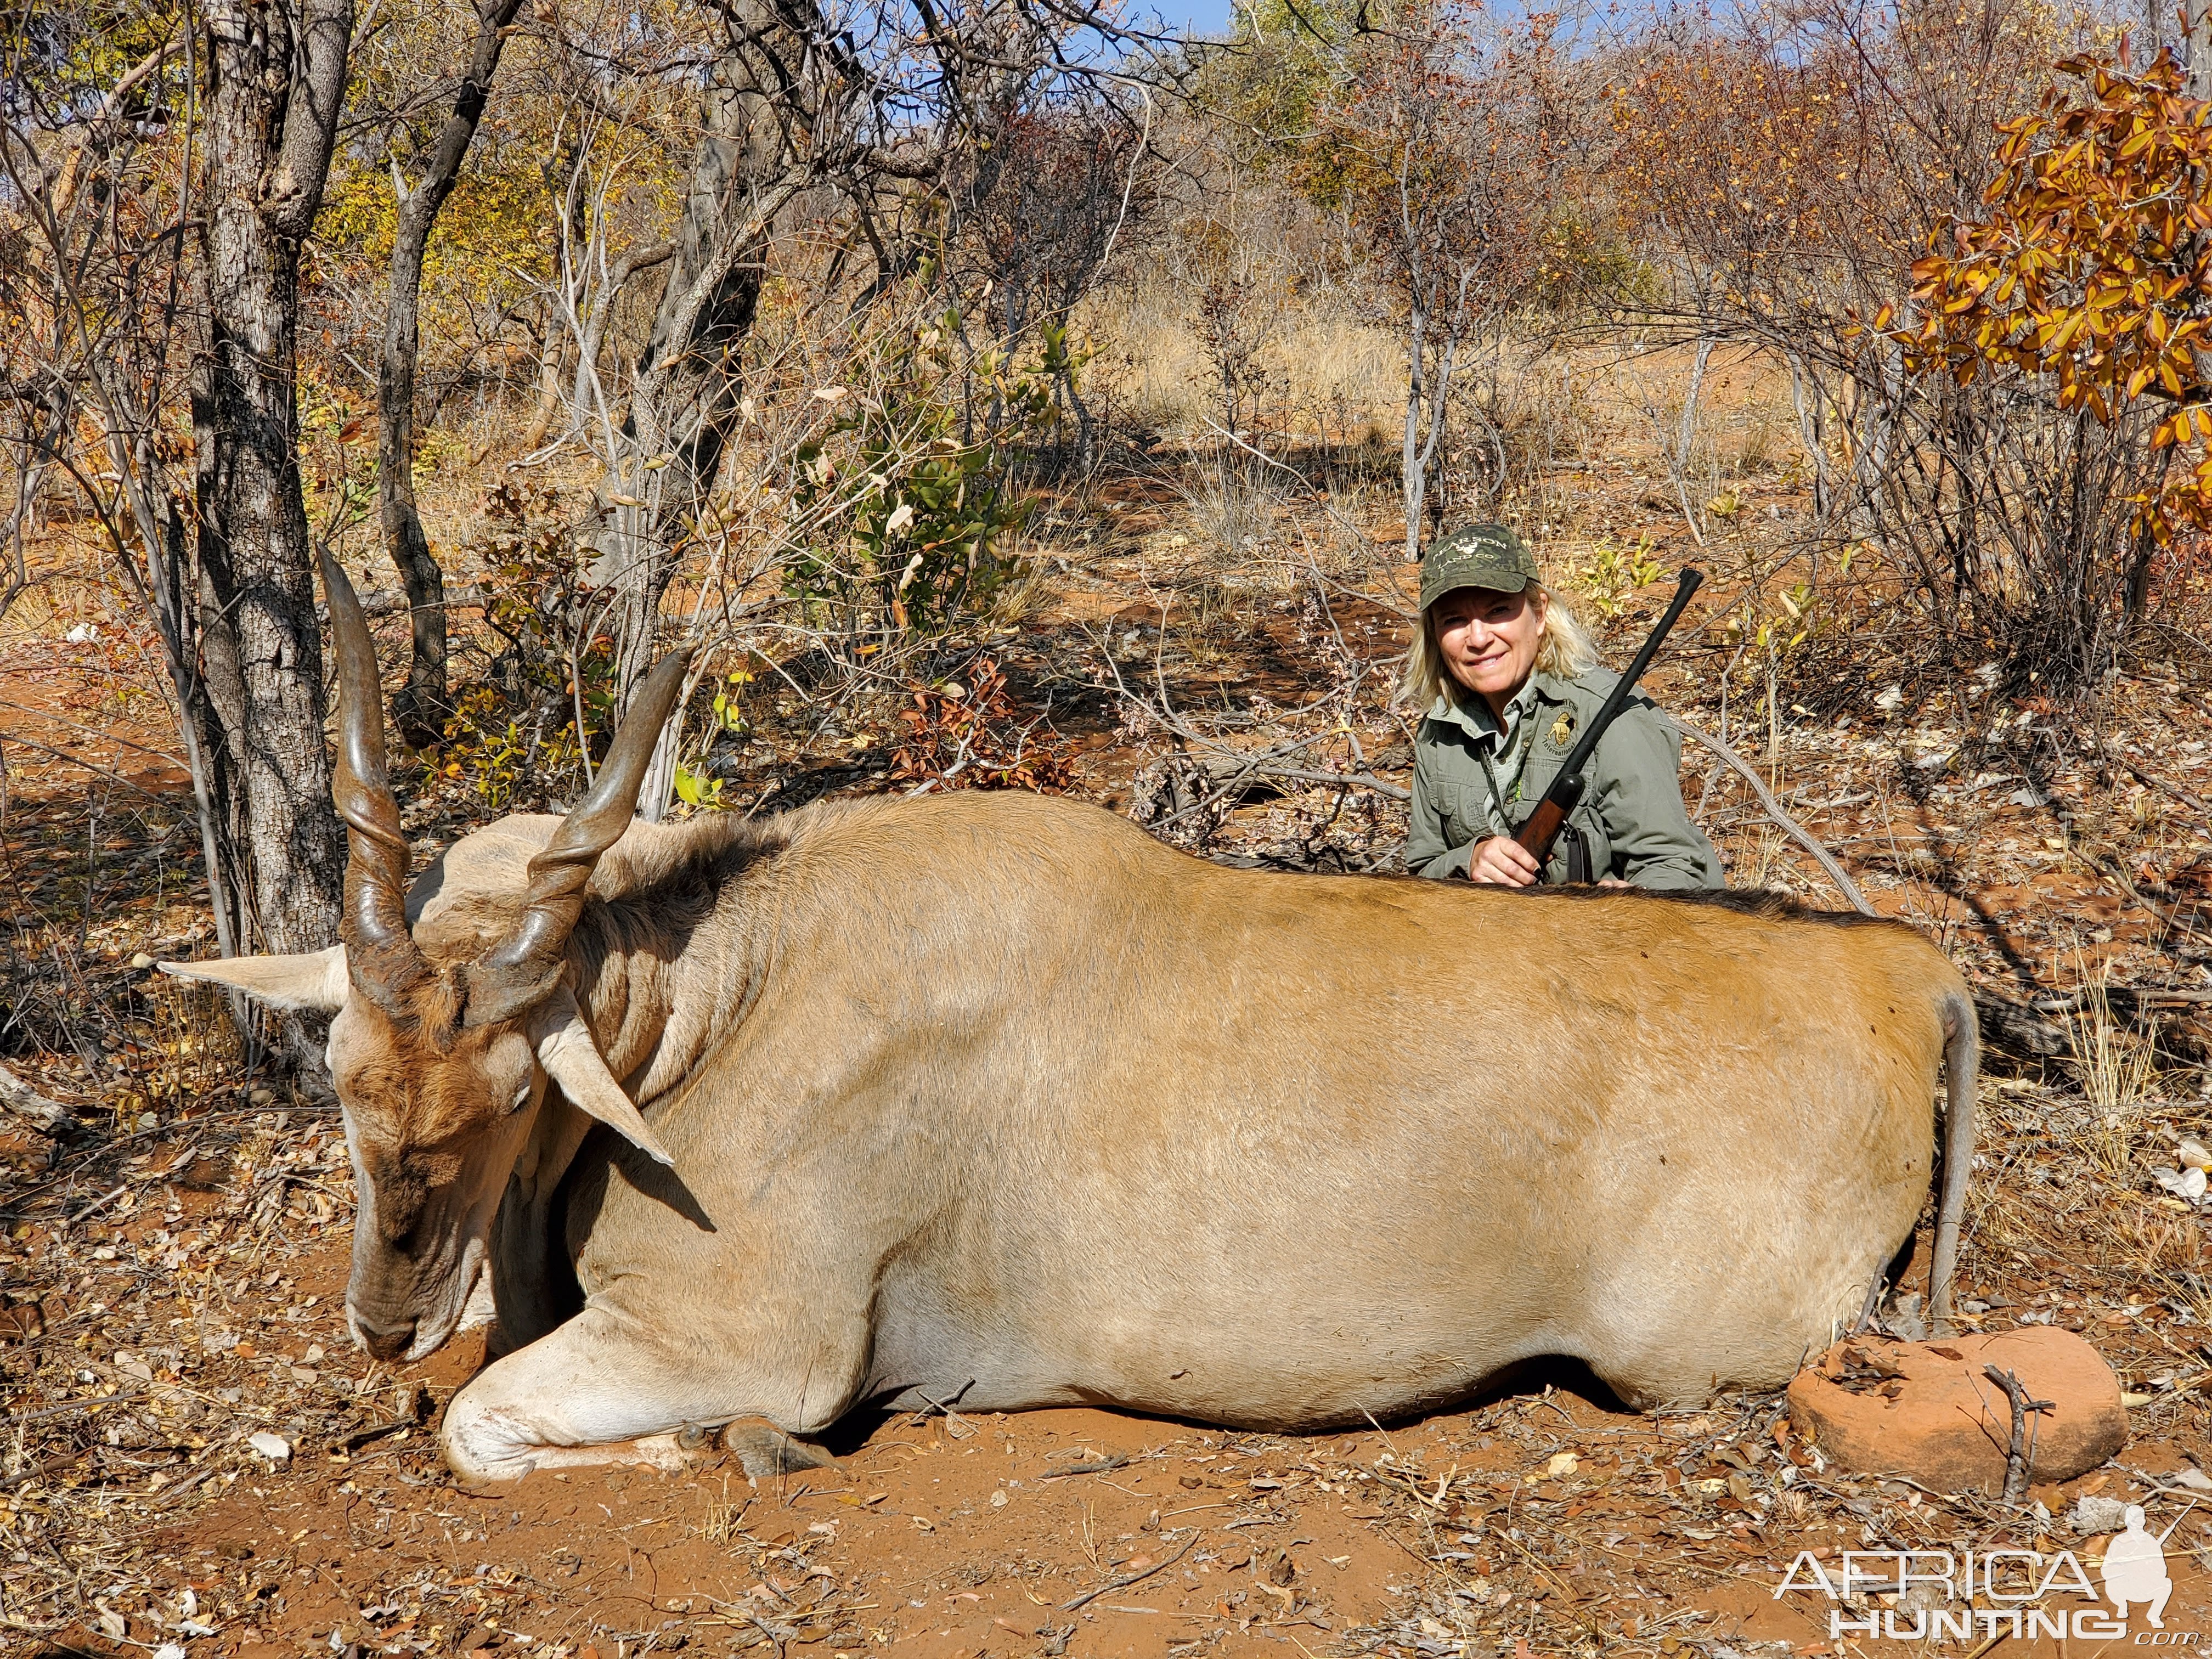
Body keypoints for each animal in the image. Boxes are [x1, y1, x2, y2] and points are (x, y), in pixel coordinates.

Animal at [163, 566, 1982, 1486]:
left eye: (495, 1092)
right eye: (341, 1082)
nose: (387, 1313)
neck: (714, 994)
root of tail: (1909, 970)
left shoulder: (752, 1338)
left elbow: (486, 1427)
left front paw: (716, 1459)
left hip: (1700, 1359)